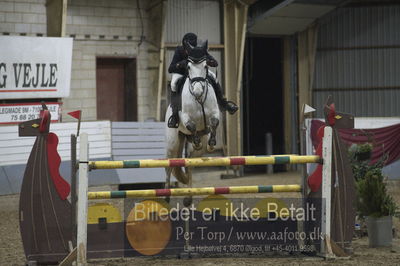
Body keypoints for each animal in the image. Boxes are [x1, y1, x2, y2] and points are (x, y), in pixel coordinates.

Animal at [164, 40, 220, 189]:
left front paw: (212, 144)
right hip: (172, 144)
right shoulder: (185, 117)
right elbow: (191, 125)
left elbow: (214, 123)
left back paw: (189, 193)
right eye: (188, 67)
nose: (197, 92)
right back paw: (166, 191)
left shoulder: (215, 113)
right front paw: (197, 142)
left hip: (194, 152)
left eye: (205, 65)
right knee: (168, 167)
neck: (199, 99)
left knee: (189, 165)